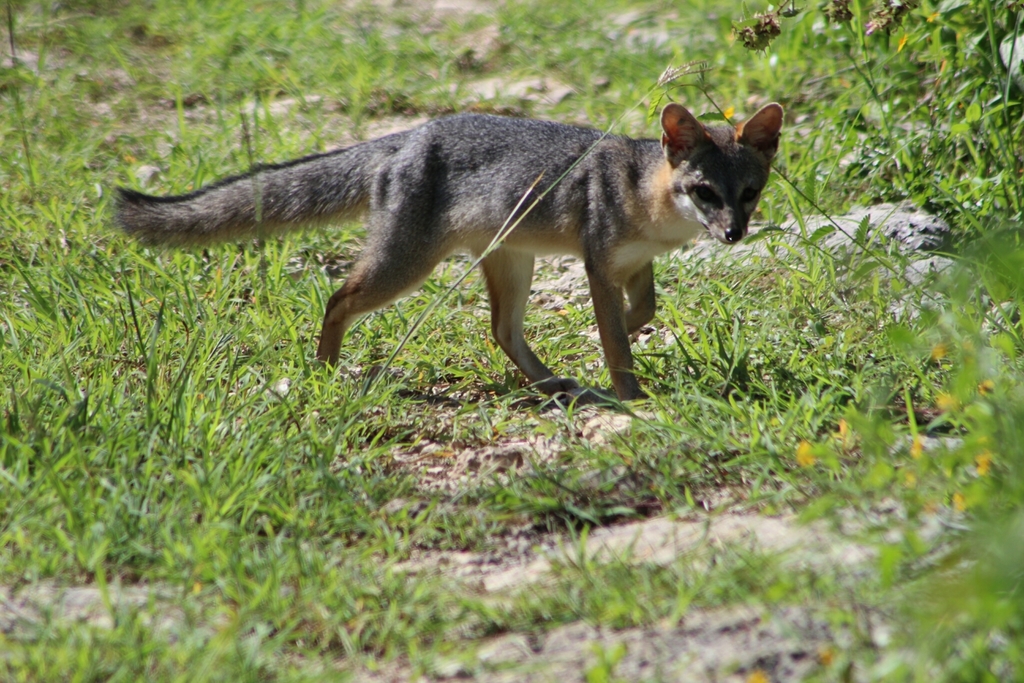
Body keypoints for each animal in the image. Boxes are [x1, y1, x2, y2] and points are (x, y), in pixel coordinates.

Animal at [116, 101, 778, 401]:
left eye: (749, 193)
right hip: (405, 268)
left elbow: (644, 311)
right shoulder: (598, 263)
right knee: (337, 298)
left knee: (503, 332)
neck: (649, 198)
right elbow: (614, 336)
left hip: (511, 262)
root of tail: (406, 135)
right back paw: (326, 372)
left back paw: (551, 385)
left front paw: (626, 340)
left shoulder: (635, 264)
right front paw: (631, 395)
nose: (732, 235)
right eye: (705, 191)